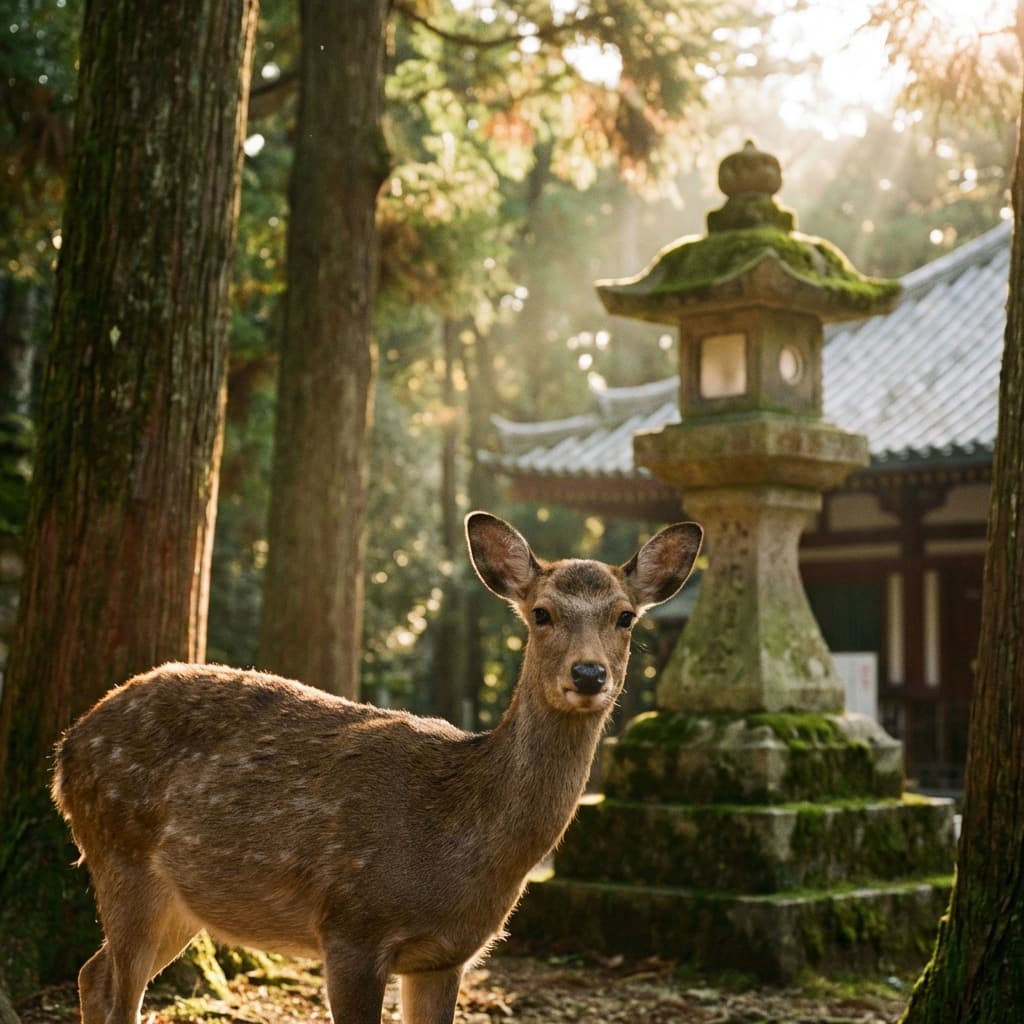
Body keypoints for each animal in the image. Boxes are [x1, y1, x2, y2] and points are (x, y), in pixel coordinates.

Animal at [51, 510, 702, 1024]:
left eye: (625, 617)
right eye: (541, 613)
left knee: (91, 973)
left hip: (183, 899)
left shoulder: (445, 955)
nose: (589, 674)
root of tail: (65, 749)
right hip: (121, 855)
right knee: (115, 989)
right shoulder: (351, 927)